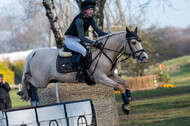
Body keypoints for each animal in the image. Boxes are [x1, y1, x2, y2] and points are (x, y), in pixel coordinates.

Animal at [20, 26, 149, 114]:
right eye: (133, 42)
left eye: (140, 41)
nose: (144, 58)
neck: (105, 52)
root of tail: (34, 53)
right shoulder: (101, 78)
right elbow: (119, 86)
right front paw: (126, 105)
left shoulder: (110, 75)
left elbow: (125, 83)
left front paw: (128, 100)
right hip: (40, 81)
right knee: (27, 78)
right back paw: (23, 92)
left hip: (47, 81)